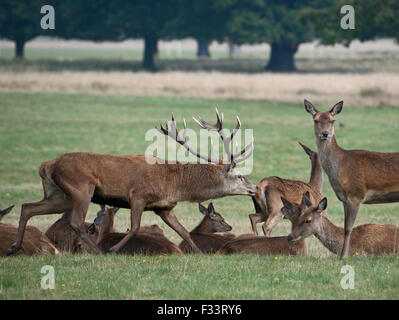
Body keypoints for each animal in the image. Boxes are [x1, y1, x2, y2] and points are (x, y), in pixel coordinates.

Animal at [5, 109, 256, 256]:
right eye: (240, 176)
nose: (254, 188)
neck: (174, 184)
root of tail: (47, 164)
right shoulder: (138, 195)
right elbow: (134, 227)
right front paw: (115, 249)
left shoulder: (164, 207)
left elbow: (184, 231)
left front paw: (199, 254)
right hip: (81, 188)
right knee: (76, 221)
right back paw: (99, 251)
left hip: (60, 195)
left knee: (28, 207)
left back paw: (13, 248)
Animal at [306, 101, 399, 258]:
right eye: (316, 120)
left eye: (332, 120)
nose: (325, 133)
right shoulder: (344, 198)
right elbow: (345, 227)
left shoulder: (355, 194)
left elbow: (349, 228)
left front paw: (344, 256)